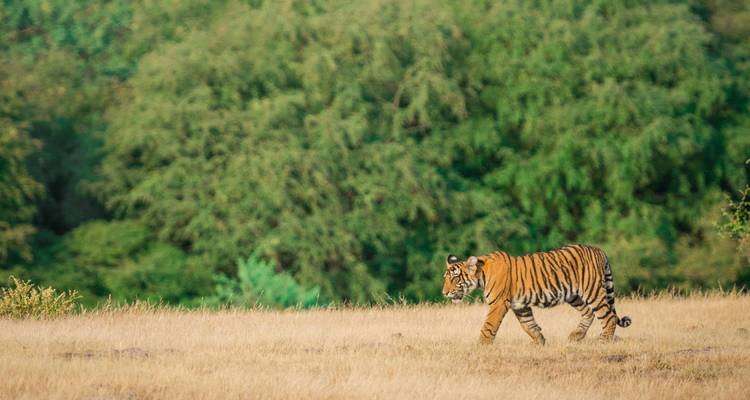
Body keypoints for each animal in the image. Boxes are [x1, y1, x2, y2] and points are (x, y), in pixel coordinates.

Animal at [442, 244, 631, 345]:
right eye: (445, 278)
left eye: (455, 278)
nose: (444, 293)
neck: (481, 275)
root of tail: (599, 250)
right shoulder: (520, 306)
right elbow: (528, 325)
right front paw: (540, 341)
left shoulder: (498, 303)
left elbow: (489, 326)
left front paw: (481, 345)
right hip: (574, 296)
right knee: (588, 313)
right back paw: (576, 336)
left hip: (592, 291)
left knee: (608, 316)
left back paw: (604, 340)